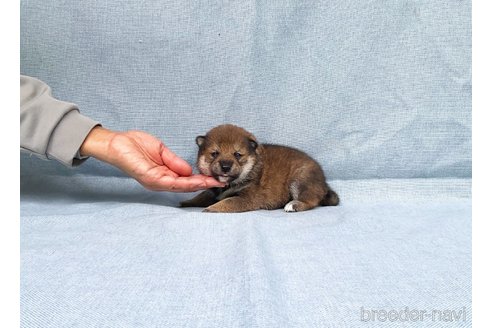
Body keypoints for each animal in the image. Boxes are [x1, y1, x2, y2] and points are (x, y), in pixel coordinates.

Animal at [180, 123, 338, 213]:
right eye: (214, 153)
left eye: (237, 154)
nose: (225, 166)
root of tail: (323, 183)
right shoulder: (212, 192)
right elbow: (202, 196)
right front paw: (187, 202)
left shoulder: (247, 198)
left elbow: (227, 202)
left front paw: (211, 208)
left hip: (300, 179)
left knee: (311, 200)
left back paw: (294, 205)